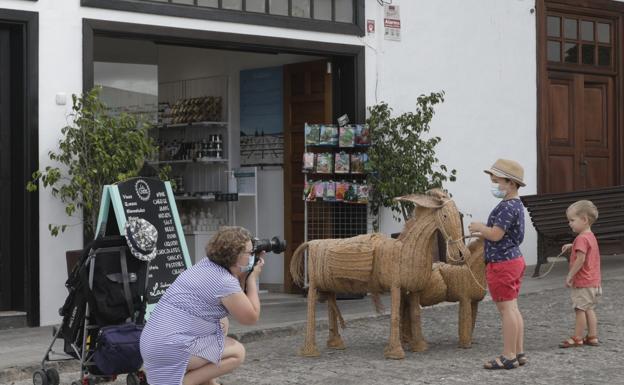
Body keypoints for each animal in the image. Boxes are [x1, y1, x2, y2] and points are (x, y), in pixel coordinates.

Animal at [290, 189, 470, 360]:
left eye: (457, 214)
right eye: (445, 215)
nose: (462, 254)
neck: (405, 248)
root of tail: (313, 242)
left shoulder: (413, 290)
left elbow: (415, 314)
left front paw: (420, 346)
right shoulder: (395, 286)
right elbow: (395, 316)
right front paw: (395, 352)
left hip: (330, 285)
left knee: (330, 303)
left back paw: (336, 343)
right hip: (314, 284)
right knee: (311, 309)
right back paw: (310, 350)